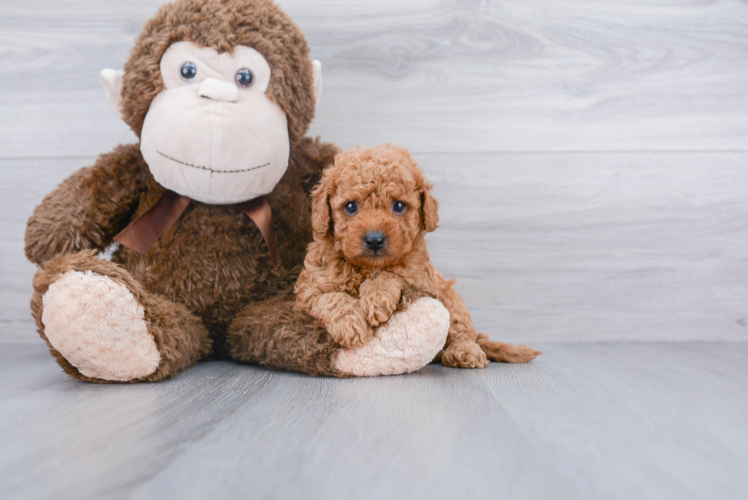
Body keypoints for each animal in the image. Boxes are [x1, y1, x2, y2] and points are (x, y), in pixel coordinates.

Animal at [296, 145, 540, 368]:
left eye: (399, 206)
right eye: (350, 206)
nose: (374, 240)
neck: (367, 267)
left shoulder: (420, 279)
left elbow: (391, 275)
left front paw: (376, 298)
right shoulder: (307, 291)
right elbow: (330, 298)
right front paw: (351, 324)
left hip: (449, 297)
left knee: (462, 332)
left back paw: (464, 352)